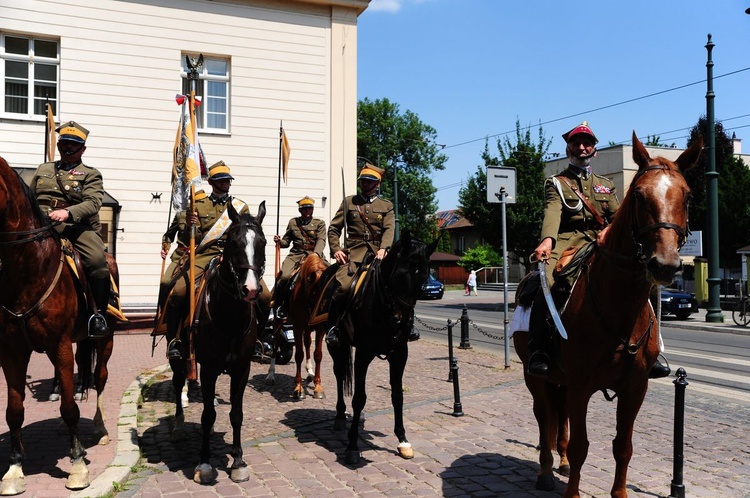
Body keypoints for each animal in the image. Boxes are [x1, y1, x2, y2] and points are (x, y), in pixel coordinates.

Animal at [0, 157, 119, 494]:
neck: (28, 270)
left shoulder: (60, 346)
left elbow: (69, 408)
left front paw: (77, 466)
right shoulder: (11, 351)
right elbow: (14, 411)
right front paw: (14, 469)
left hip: (105, 339)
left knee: (100, 378)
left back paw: (100, 428)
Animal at [168, 200, 268, 484]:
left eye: (263, 242)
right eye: (233, 241)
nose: (251, 290)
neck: (230, 315)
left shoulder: (242, 369)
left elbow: (236, 413)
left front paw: (238, 460)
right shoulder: (210, 368)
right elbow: (207, 414)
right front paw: (204, 462)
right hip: (178, 354)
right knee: (178, 382)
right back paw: (178, 427)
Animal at [330, 231, 440, 464]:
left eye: (424, 278)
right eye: (398, 274)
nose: (401, 320)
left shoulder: (399, 354)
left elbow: (397, 395)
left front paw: (403, 439)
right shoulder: (363, 353)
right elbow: (359, 398)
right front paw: (352, 445)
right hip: (336, 344)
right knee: (339, 374)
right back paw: (340, 415)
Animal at [516, 133, 704, 498]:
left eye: (687, 196)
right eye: (639, 195)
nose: (666, 265)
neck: (621, 307)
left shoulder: (635, 388)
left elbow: (623, 446)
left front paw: (619, 492)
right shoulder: (580, 384)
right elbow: (582, 446)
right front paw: (571, 490)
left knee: (559, 418)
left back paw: (559, 462)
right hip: (537, 377)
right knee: (543, 418)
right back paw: (546, 471)